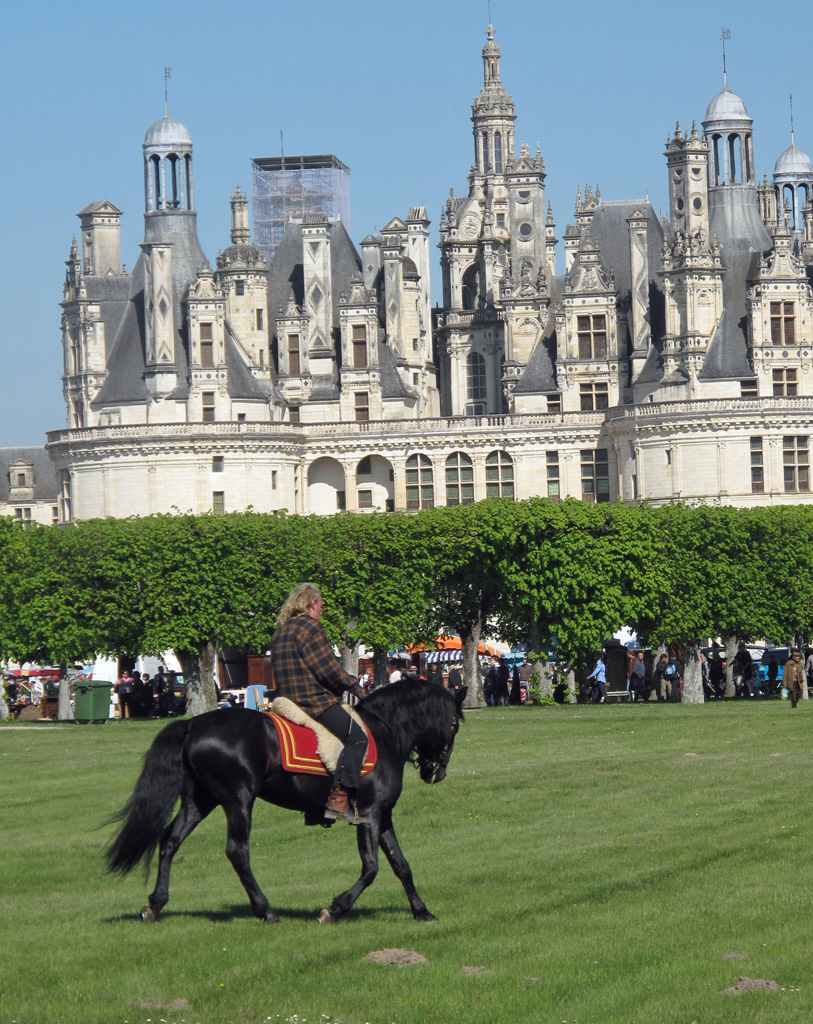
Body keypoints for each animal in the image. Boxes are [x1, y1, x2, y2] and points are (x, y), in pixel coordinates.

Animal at [105, 684, 468, 925]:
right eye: (454, 723)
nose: (436, 772)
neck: (383, 732)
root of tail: (194, 723)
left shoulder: (383, 816)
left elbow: (401, 865)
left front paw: (421, 911)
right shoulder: (368, 815)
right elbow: (371, 868)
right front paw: (335, 909)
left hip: (199, 801)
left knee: (170, 841)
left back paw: (156, 904)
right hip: (238, 800)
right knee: (237, 851)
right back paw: (265, 910)